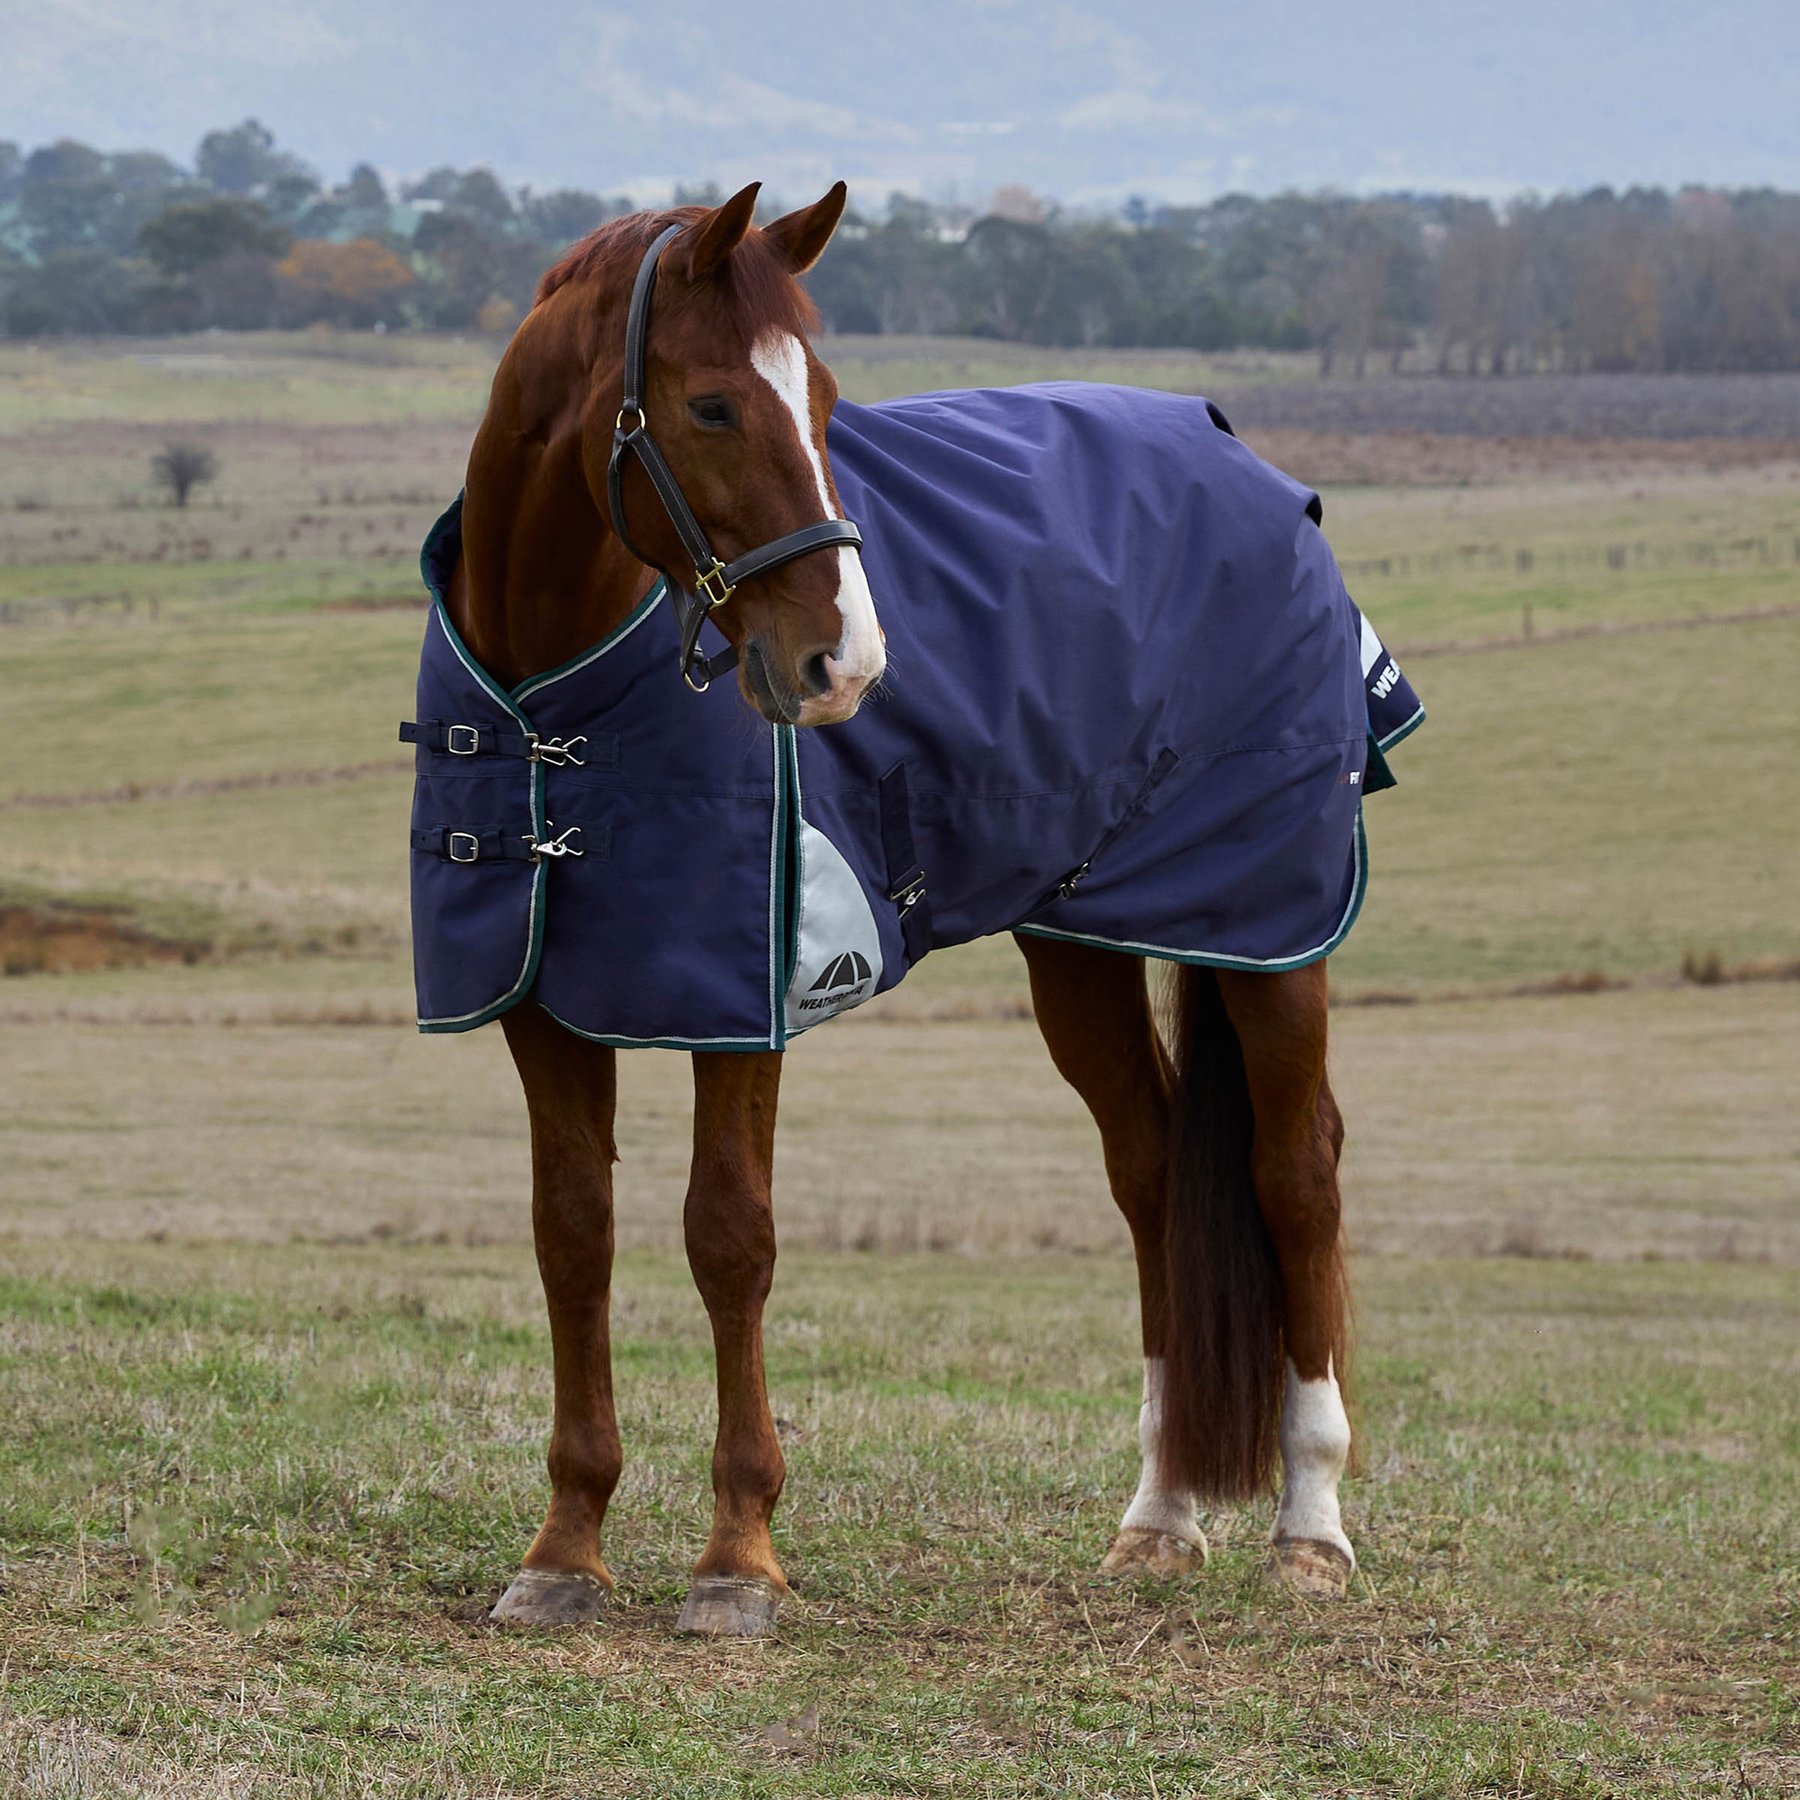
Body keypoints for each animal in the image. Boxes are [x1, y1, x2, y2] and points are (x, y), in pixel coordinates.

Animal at [424, 181, 1375, 1637]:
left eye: (823, 401)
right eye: (713, 405)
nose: (846, 662)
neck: (557, 700)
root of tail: (1243, 463)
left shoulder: (745, 1001)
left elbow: (730, 1238)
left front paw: (738, 1556)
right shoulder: (546, 1004)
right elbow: (572, 1237)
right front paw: (566, 1549)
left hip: (1269, 929)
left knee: (1296, 1173)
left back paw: (1311, 1524)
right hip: (1079, 947)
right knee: (1154, 1173)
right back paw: (1159, 1511)